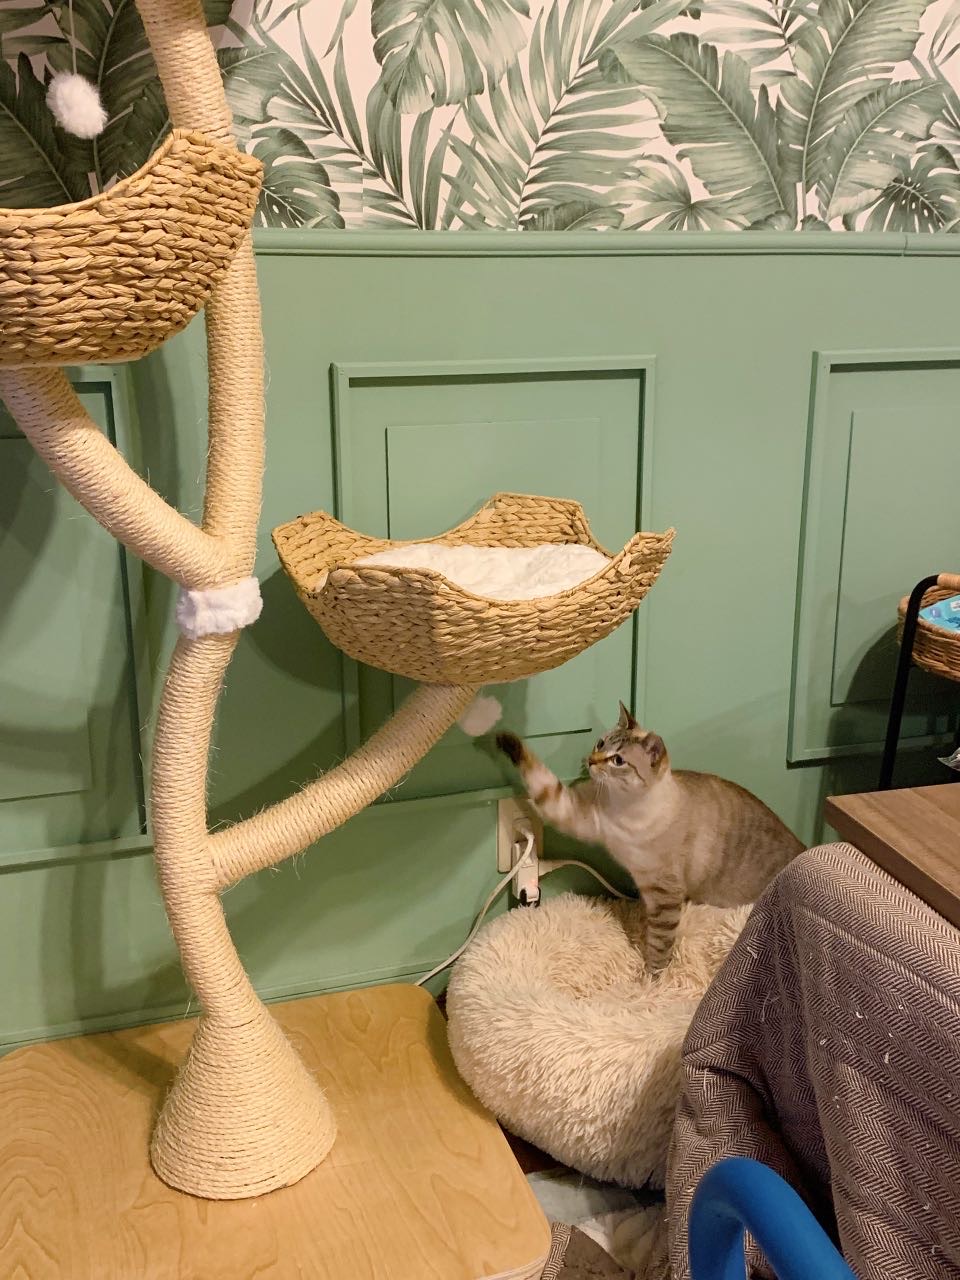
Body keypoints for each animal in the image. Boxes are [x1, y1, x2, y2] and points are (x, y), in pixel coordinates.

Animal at [496, 702, 803, 973]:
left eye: (618, 760)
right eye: (600, 743)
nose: (591, 762)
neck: (624, 807)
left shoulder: (665, 894)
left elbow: (659, 945)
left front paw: (650, 980)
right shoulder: (574, 812)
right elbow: (540, 780)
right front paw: (504, 738)